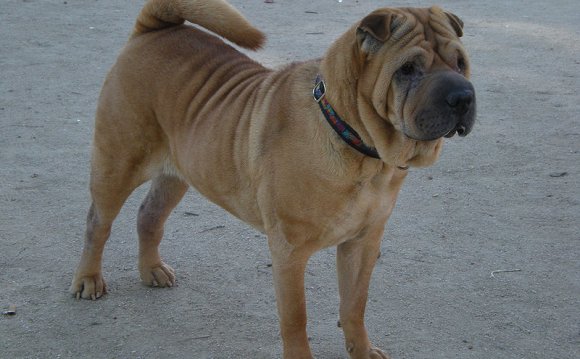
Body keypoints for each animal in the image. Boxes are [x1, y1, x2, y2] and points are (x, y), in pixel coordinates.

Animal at [70, 1, 476, 358]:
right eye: (407, 69)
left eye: (461, 63)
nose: (462, 96)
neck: (358, 146)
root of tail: (151, 30)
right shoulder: (290, 251)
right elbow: (296, 318)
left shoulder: (363, 243)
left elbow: (354, 306)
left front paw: (362, 351)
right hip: (117, 163)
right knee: (97, 224)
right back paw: (88, 279)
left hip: (177, 174)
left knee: (149, 215)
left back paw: (152, 270)